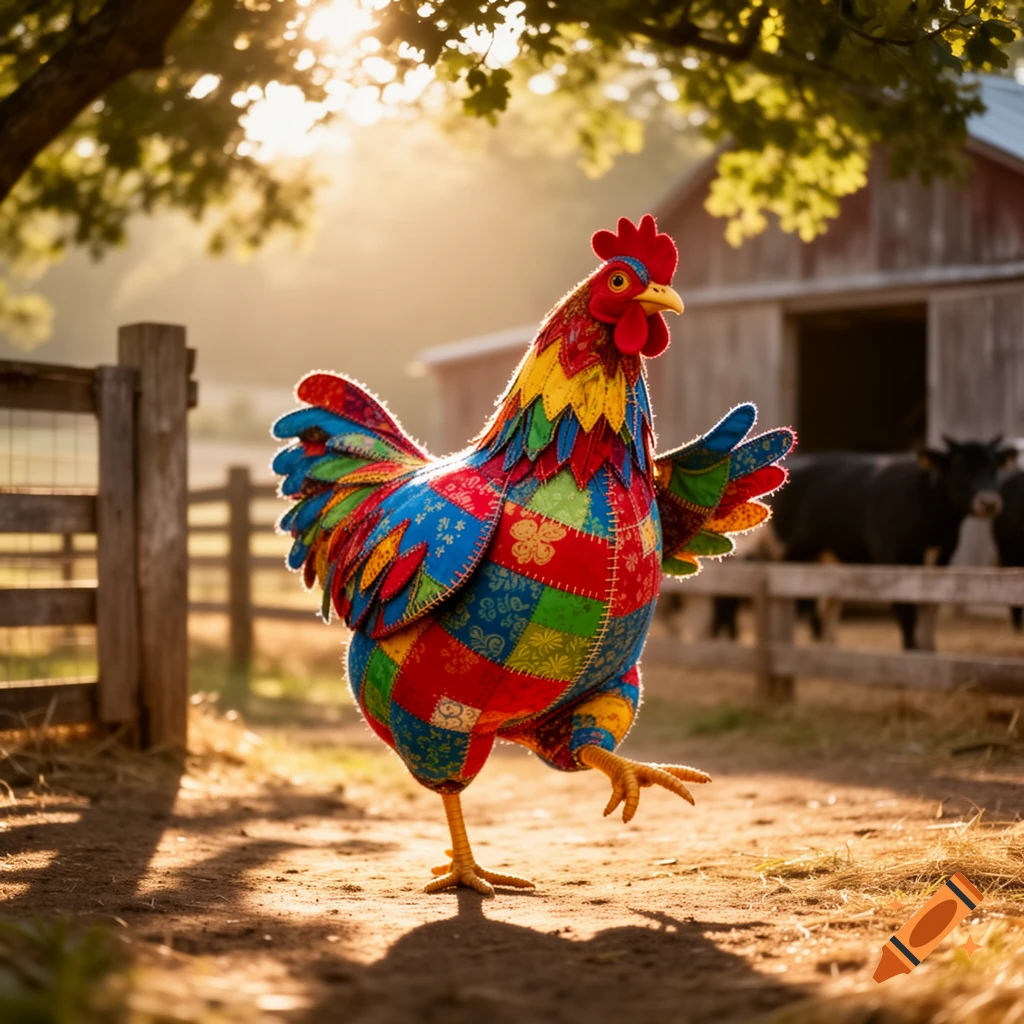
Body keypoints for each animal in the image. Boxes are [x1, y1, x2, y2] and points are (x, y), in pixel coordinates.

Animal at [766, 437, 1016, 650]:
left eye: (994, 467)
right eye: (960, 468)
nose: (989, 502)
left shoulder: (941, 559)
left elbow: (930, 608)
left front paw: (928, 650)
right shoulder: (893, 558)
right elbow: (906, 611)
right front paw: (912, 651)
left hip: (831, 560)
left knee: (827, 605)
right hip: (788, 553)